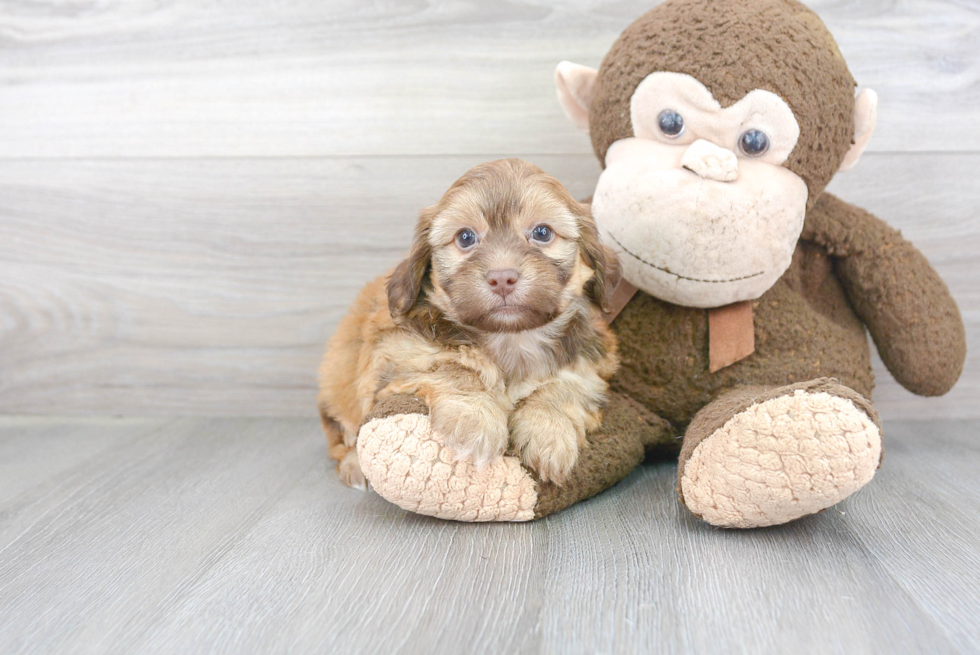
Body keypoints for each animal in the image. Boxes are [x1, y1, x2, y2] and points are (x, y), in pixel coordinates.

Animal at [318, 158, 620, 486]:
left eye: (542, 233)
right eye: (465, 237)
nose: (502, 277)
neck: (510, 338)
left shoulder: (589, 365)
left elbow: (564, 385)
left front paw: (549, 428)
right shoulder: (398, 357)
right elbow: (456, 368)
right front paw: (475, 417)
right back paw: (354, 465)